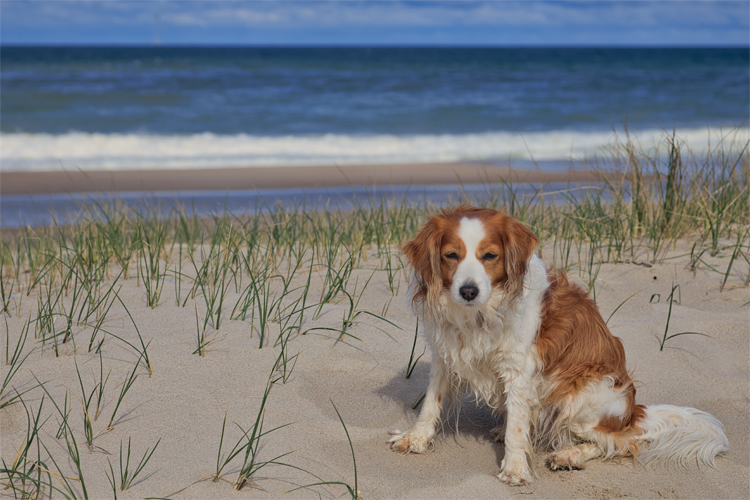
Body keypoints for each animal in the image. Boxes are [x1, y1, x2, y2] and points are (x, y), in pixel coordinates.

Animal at [390, 206, 732, 484]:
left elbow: (517, 428)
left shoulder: (519, 371)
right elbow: (431, 404)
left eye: (489, 256)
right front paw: (415, 438)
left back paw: (570, 455)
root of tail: (634, 412)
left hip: (581, 398)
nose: (468, 291)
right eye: (451, 255)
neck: (480, 314)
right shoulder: (444, 356)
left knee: (618, 442)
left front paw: (515, 468)